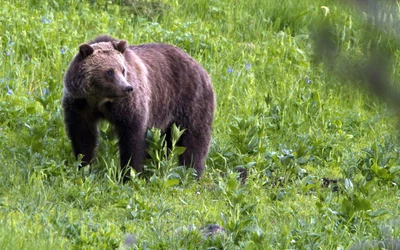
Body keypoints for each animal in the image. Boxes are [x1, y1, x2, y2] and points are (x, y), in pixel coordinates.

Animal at [61, 35, 216, 180]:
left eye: (123, 70)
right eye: (110, 71)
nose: (127, 88)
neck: (101, 99)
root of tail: (199, 66)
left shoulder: (128, 106)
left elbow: (132, 138)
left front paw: (128, 174)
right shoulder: (80, 105)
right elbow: (82, 136)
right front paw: (84, 166)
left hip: (190, 100)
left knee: (195, 138)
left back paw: (192, 172)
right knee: (167, 141)